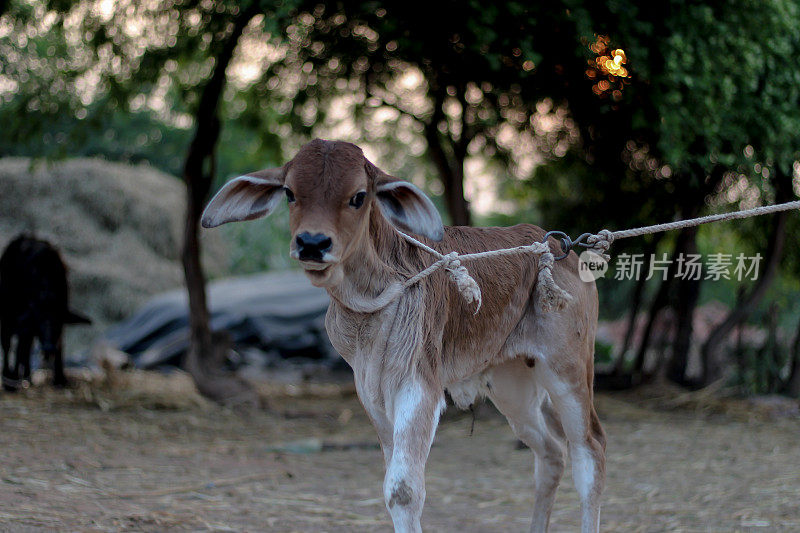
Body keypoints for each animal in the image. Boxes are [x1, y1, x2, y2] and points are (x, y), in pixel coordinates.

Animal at [202, 139, 608, 528]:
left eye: (358, 196)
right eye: (289, 192)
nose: (312, 244)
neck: (371, 302)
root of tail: (556, 245)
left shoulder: (419, 386)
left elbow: (403, 490)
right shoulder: (371, 391)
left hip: (567, 370)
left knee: (590, 451)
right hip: (512, 384)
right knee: (551, 452)